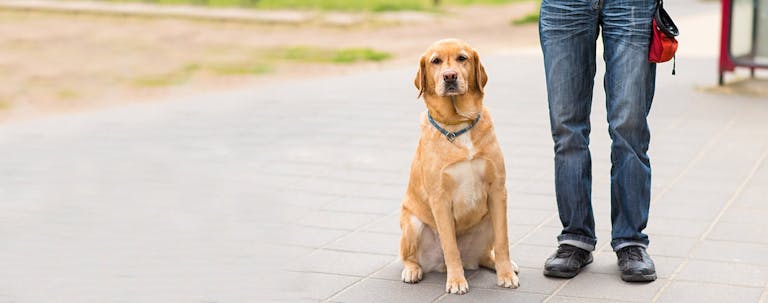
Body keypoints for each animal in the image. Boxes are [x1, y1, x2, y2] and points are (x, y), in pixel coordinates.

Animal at [400, 39, 520, 296]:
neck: (458, 125)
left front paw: (505, 274)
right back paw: (413, 270)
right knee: (408, 256)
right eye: (435, 61)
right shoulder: (440, 199)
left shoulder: (498, 191)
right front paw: (456, 281)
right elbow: (450, 246)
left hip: (489, 218)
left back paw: (501, 264)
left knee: (487, 253)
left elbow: (503, 242)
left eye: (462, 58)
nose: (450, 76)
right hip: (412, 224)